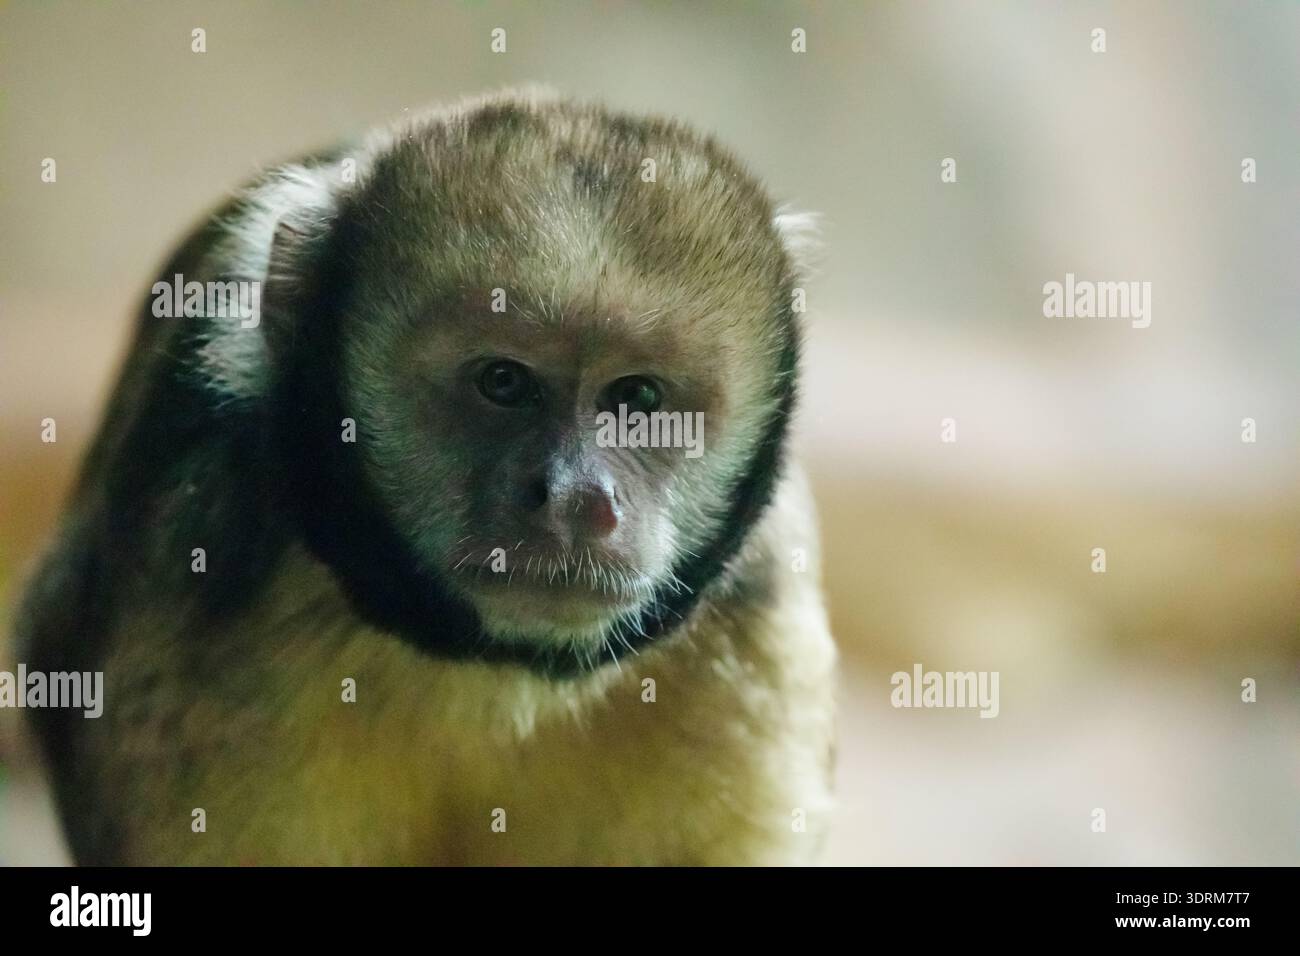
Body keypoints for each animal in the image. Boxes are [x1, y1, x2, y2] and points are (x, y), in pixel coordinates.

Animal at [15, 88, 837, 865]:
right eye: (504, 383)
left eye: (636, 399)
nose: (576, 500)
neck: (491, 669)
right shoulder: (189, 553)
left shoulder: (760, 624)